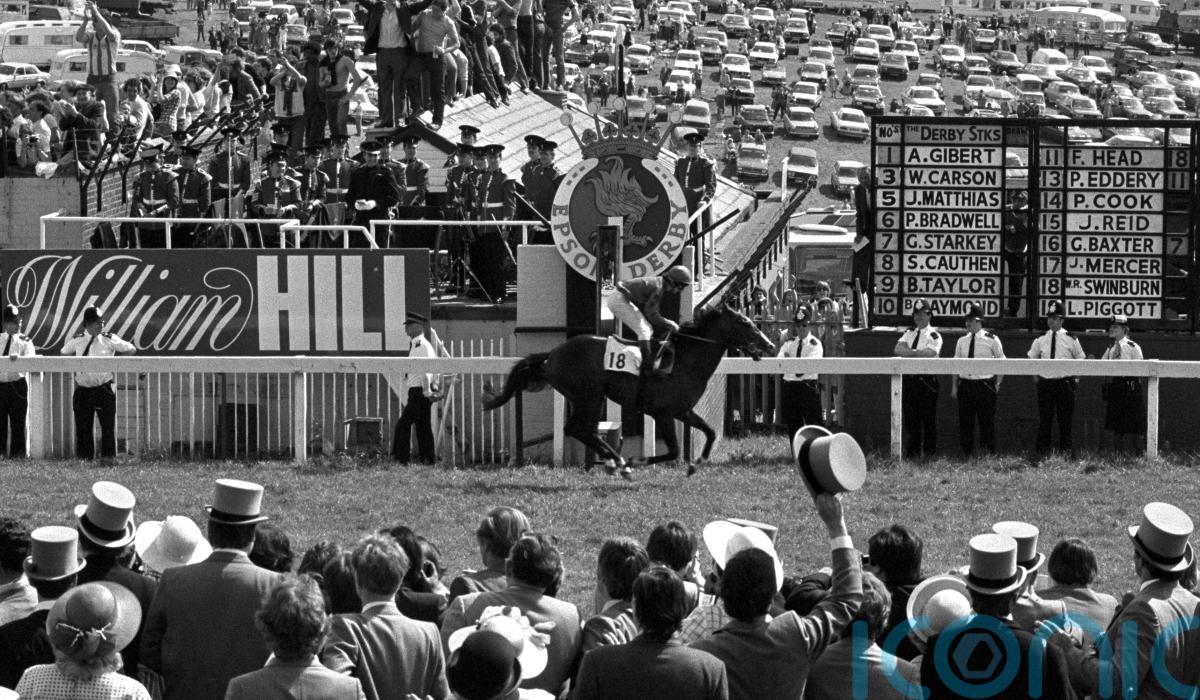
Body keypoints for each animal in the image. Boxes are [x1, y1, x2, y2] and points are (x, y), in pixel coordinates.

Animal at [482, 302, 775, 477]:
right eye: (745, 323)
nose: (770, 345)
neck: (685, 359)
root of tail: (552, 354)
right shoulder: (663, 413)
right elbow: (673, 451)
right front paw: (638, 461)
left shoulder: (682, 411)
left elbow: (711, 431)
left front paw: (697, 463)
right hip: (588, 395)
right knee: (578, 428)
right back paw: (620, 462)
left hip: (589, 397)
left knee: (583, 430)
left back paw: (614, 460)